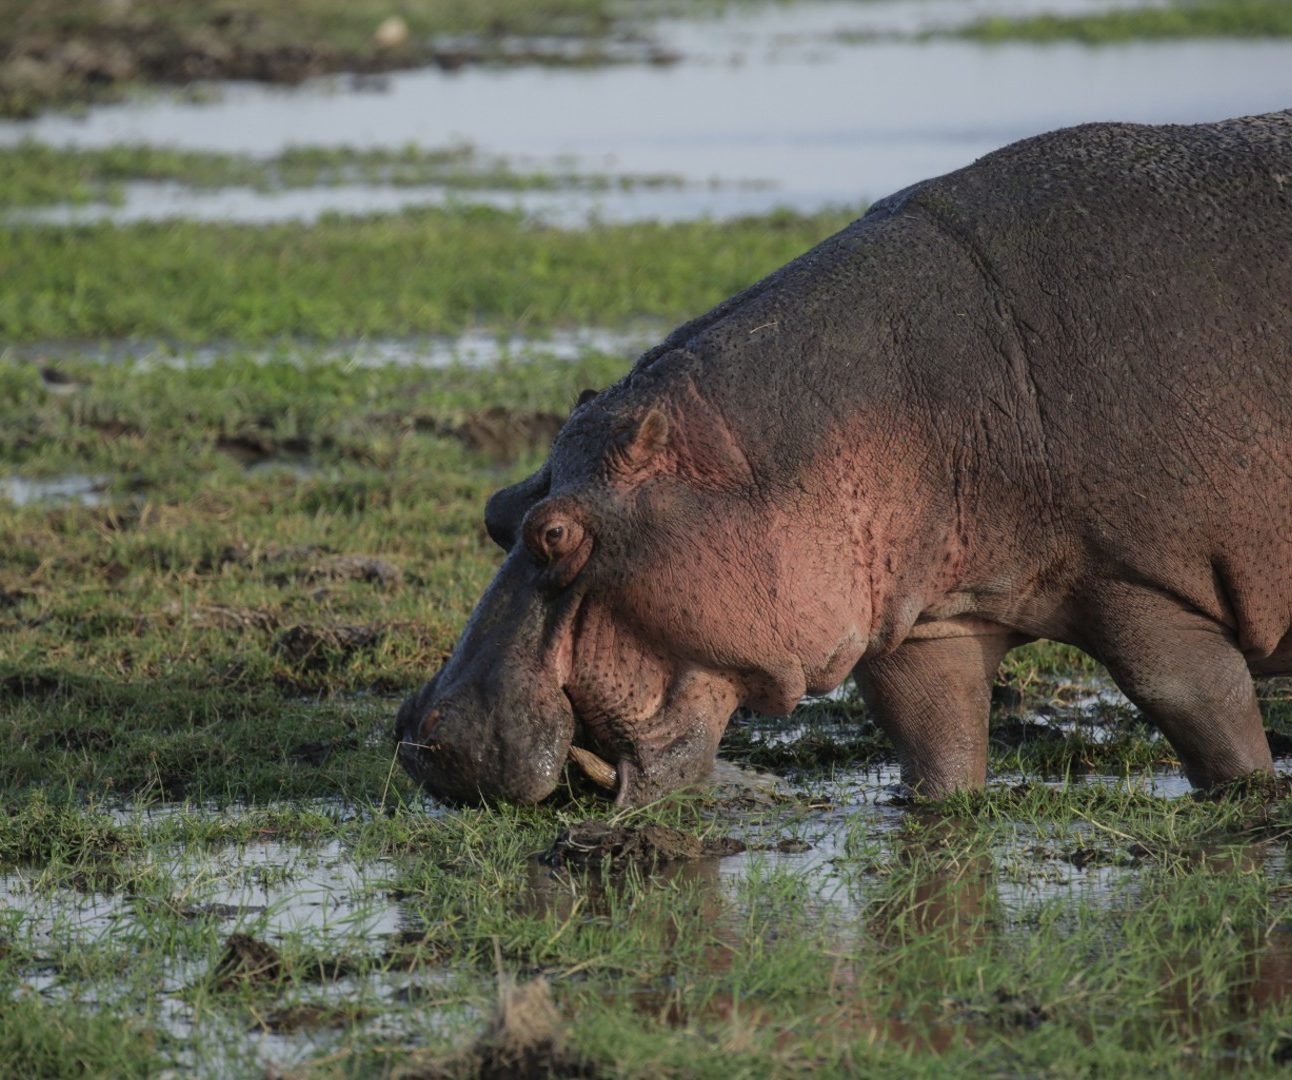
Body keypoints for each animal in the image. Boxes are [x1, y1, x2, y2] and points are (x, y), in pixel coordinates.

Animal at [397, 111, 1292, 800]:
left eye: (555, 533)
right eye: (497, 510)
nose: (423, 738)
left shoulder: (1141, 587)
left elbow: (1203, 715)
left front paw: (1251, 796)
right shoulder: (928, 626)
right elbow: (933, 745)